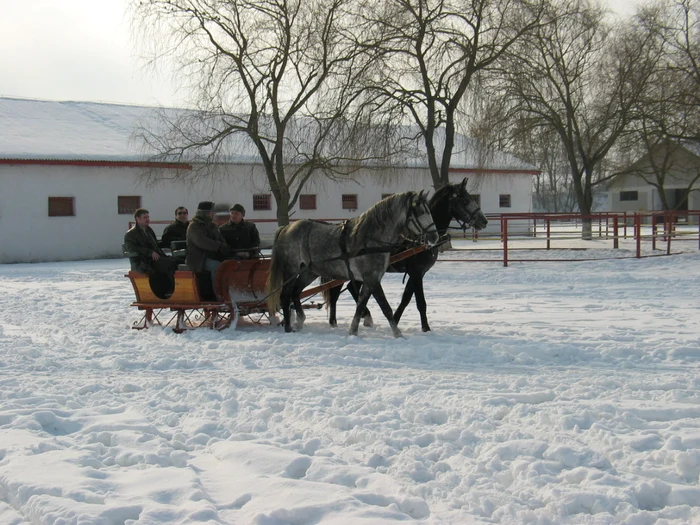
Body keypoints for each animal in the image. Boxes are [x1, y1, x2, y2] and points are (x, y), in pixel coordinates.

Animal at [266, 191, 438, 336]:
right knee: (286, 295)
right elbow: (385, 307)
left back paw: (300, 321)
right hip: (291, 269)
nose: (434, 236)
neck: (370, 239)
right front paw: (398, 334)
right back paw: (288, 327)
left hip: (309, 271)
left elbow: (361, 304)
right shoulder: (373, 279)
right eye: (421, 212)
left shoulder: (370, 280)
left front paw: (353, 331)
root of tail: (287, 227)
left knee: (296, 292)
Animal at [322, 178, 486, 330]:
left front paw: (396, 319)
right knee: (336, 292)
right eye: (465, 200)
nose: (484, 221)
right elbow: (420, 302)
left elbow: (406, 298)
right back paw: (338, 321)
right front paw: (426, 328)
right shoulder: (416, 272)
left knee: (349, 288)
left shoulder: (418, 273)